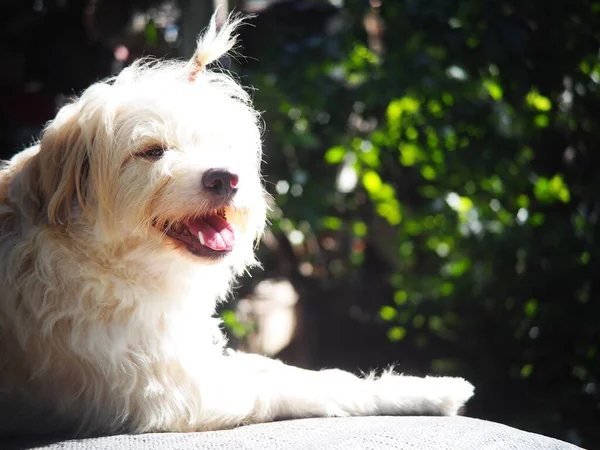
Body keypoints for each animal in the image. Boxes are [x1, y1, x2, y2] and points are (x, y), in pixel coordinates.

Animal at [0, 14, 474, 440]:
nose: (225, 179)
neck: (95, 257)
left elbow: (275, 365)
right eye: (151, 151)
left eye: (223, 143)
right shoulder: (173, 391)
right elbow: (308, 385)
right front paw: (425, 391)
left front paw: (428, 389)